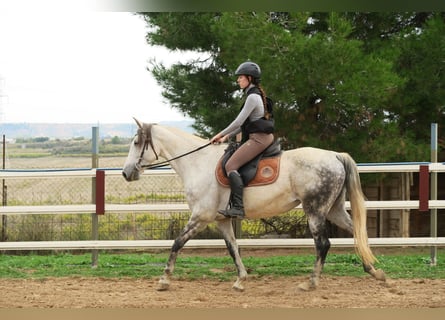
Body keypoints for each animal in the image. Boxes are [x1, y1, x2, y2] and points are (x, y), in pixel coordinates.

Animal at [122, 119, 386, 292]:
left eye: (136, 142)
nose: (126, 173)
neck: (197, 162)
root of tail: (334, 155)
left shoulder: (201, 217)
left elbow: (177, 243)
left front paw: (164, 279)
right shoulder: (222, 220)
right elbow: (233, 249)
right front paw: (241, 280)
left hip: (315, 211)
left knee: (323, 244)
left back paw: (310, 282)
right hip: (334, 210)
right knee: (357, 234)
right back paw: (376, 272)